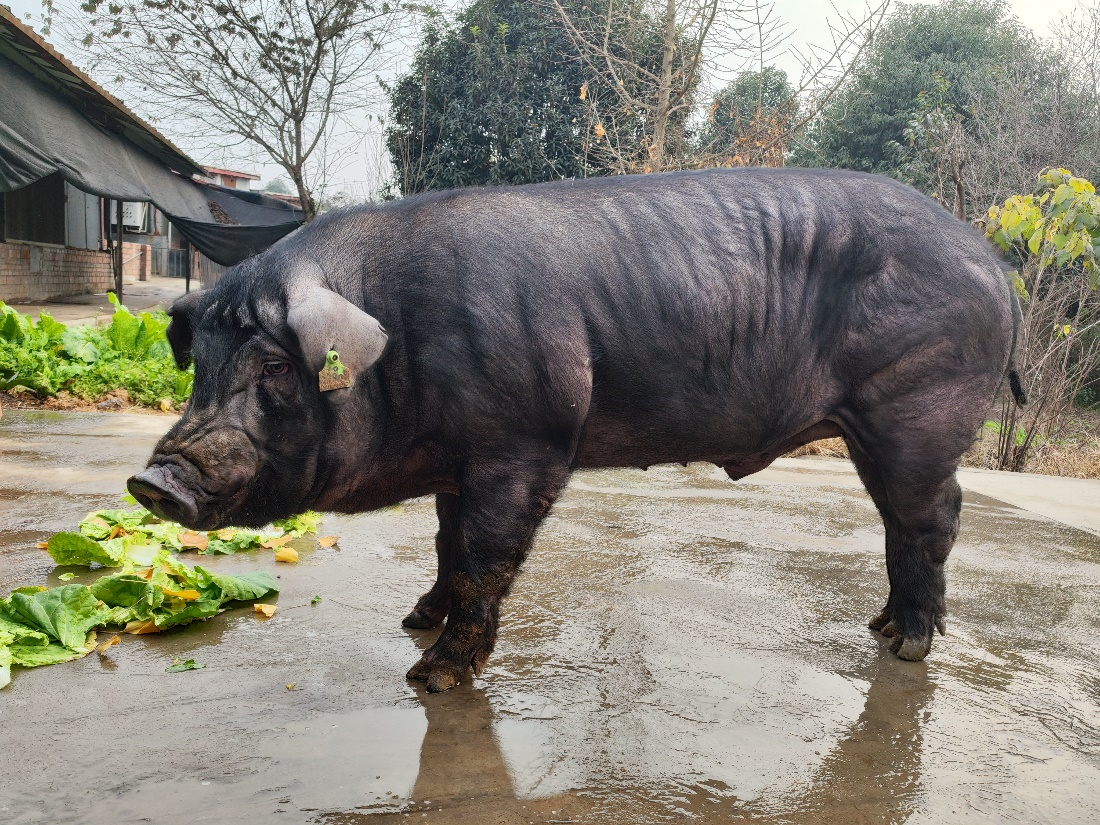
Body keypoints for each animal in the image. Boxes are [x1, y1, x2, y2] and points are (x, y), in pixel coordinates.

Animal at [128, 166, 1020, 690]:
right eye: (200, 364)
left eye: (276, 368)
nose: (152, 479)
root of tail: (996, 265)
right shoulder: (458, 460)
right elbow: (445, 545)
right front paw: (415, 618)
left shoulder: (523, 443)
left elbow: (484, 560)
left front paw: (430, 674)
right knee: (910, 520)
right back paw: (883, 626)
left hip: (917, 407)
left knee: (932, 516)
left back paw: (907, 646)